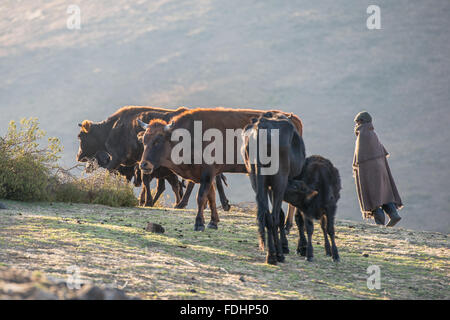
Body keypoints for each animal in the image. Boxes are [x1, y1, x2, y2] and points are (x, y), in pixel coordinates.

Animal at [137, 107, 302, 235]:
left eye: (157, 141)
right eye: (144, 140)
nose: (143, 164)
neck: (190, 136)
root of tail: (293, 119)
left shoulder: (207, 173)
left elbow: (201, 197)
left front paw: (199, 223)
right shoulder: (209, 175)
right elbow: (211, 197)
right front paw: (213, 222)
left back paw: (287, 227)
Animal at [241, 112, 308, 264]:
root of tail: (261, 126)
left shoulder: (268, 187)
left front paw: (284, 245)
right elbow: (295, 215)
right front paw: (300, 247)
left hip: (256, 180)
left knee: (267, 216)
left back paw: (272, 253)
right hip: (279, 182)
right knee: (273, 217)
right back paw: (275, 256)